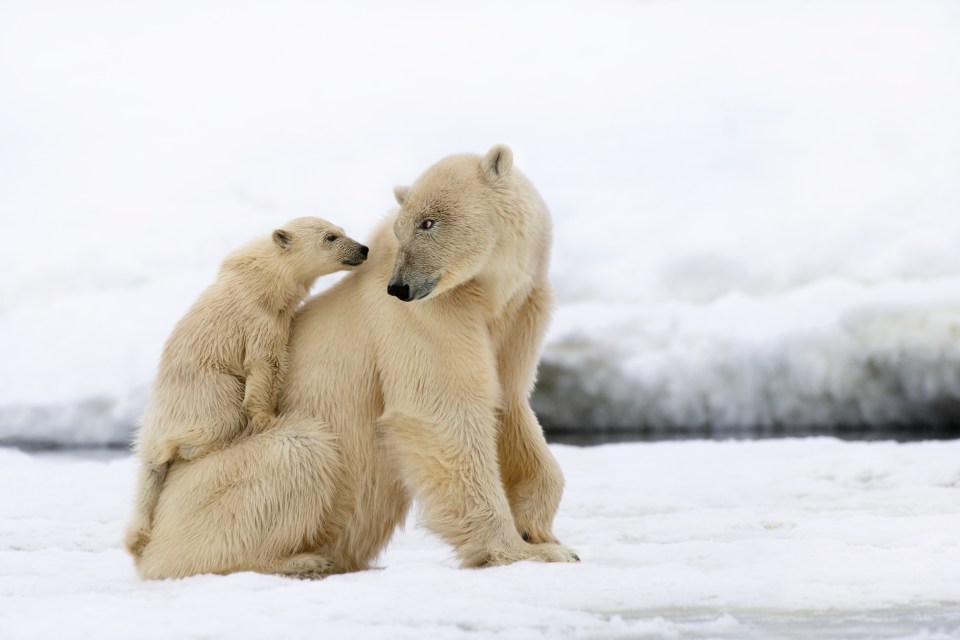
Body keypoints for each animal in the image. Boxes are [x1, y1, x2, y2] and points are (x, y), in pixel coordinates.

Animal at [137, 146, 576, 580]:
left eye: (428, 222)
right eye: (402, 228)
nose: (400, 287)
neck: (487, 293)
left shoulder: (520, 311)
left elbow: (510, 403)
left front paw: (538, 528)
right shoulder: (428, 313)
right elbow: (442, 411)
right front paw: (526, 551)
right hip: (214, 484)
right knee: (299, 449)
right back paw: (298, 560)